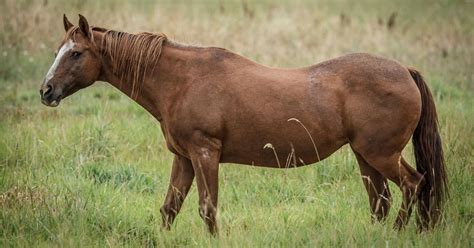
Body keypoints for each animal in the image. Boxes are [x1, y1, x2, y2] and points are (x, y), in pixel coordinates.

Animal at [39, 14, 446, 233]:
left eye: (76, 53)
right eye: (57, 51)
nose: (46, 90)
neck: (182, 80)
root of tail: (405, 71)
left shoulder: (205, 153)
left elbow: (208, 209)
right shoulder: (184, 158)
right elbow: (170, 208)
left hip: (382, 155)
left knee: (413, 184)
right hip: (365, 156)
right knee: (381, 202)